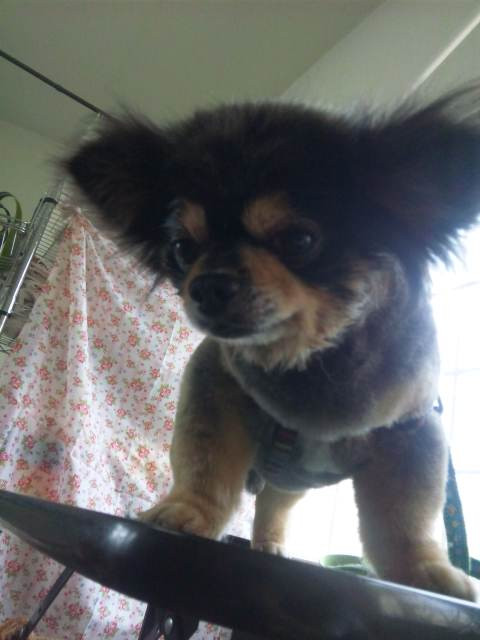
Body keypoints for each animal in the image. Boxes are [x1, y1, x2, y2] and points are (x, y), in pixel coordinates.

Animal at [65, 87, 480, 601]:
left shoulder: (411, 432)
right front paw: (189, 511)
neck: (308, 363)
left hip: (294, 480)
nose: (207, 284)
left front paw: (423, 571)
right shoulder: (214, 387)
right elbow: (206, 466)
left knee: (274, 505)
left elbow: (402, 521)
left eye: (299, 240)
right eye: (182, 249)